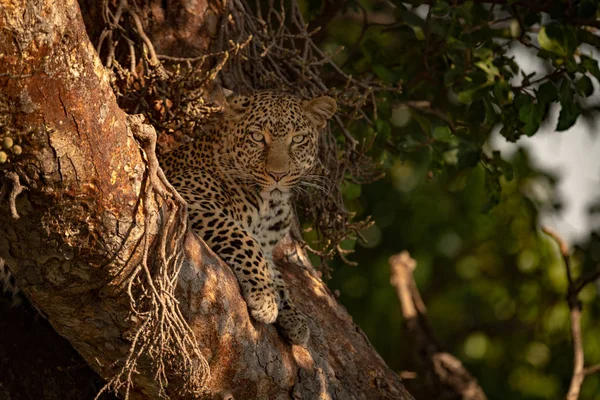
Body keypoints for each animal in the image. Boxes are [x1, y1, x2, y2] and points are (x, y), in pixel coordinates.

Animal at [159, 90, 338, 344]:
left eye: (297, 139)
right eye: (257, 136)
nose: (277, 175)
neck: (269, 206)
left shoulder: (268, 246)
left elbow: (277, 275)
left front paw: (293, 316)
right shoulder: (187, 198)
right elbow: (244, 240)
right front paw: (265, 298)